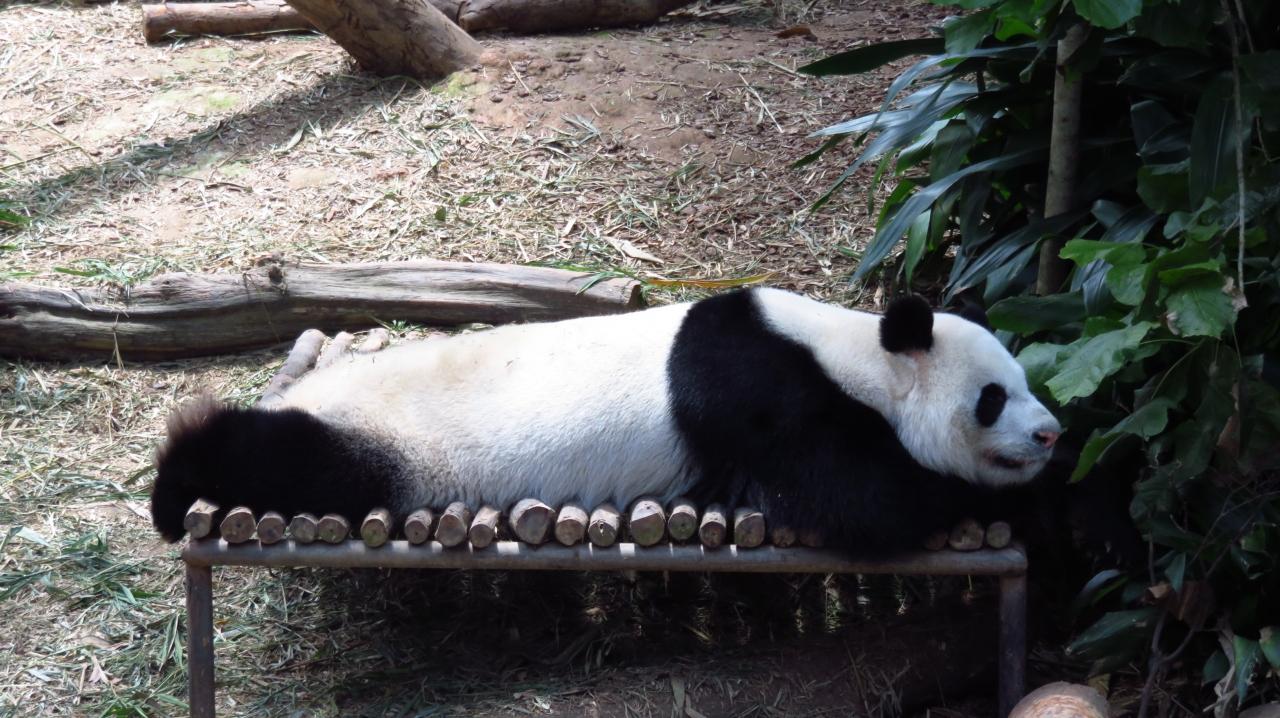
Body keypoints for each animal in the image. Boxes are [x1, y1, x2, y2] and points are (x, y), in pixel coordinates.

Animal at [150, 288, 1061, 555]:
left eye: (1026, 381)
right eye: (993, 396)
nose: (1051, 434)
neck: (855, 354)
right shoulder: (763, 397)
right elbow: (865, 506)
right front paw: (1004, 499)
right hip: (385, 440)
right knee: (283, 458)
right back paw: (174, 484)